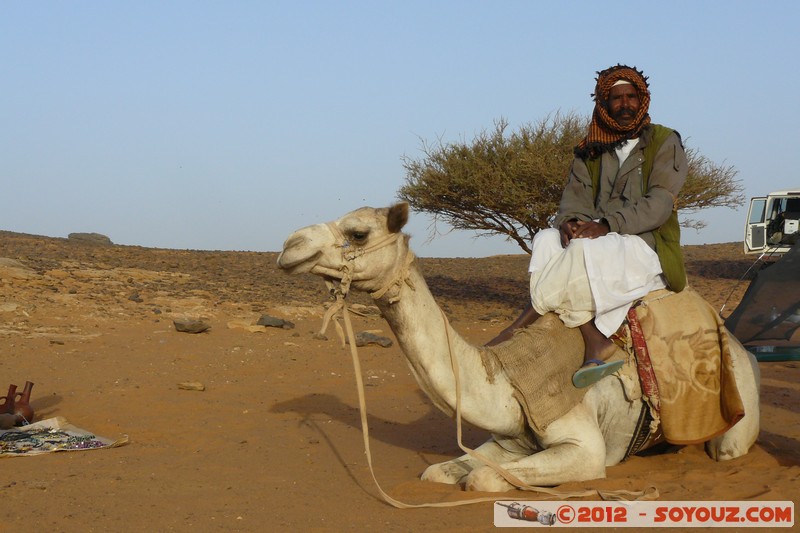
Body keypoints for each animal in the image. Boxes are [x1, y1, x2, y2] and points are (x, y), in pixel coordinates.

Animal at [277, 202, 761, 492]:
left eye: (358, 233)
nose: (289, 245)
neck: (510, 380)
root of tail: (742, 348)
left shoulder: (586, 450)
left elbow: (483, 481)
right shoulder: (509, 444)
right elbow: (438, 471)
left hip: (735, 414)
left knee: (727, 447)